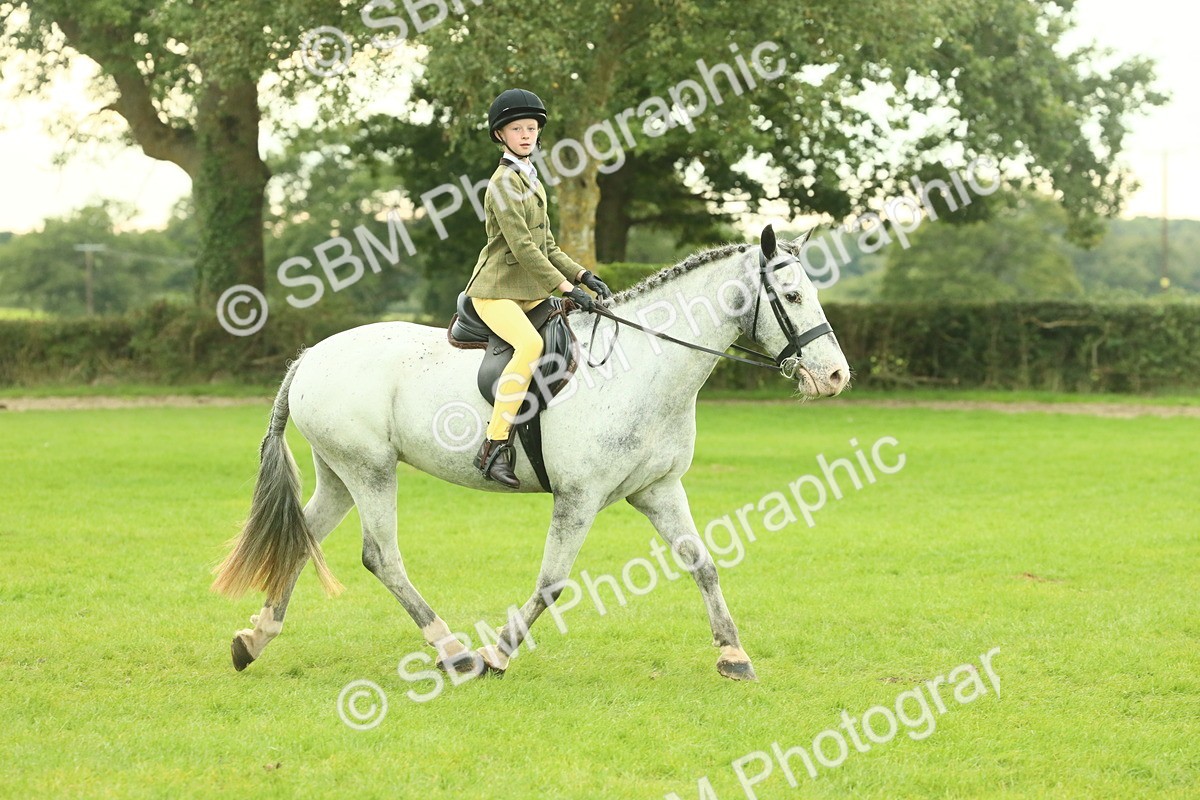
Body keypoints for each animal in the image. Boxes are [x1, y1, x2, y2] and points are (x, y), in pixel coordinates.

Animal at [211, 225, 850, 681]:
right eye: (792, 295)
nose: (837, 377)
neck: (643, 366)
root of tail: (310, 356)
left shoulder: (657, 489)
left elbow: (702, 563)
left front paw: (733, 655)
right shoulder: (579, 496)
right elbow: (551, 582)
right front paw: (499, 654)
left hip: (340, 473)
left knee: (304, 538)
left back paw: (254, 639)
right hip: (370, 471)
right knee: (381, 557)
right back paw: (455, 652)